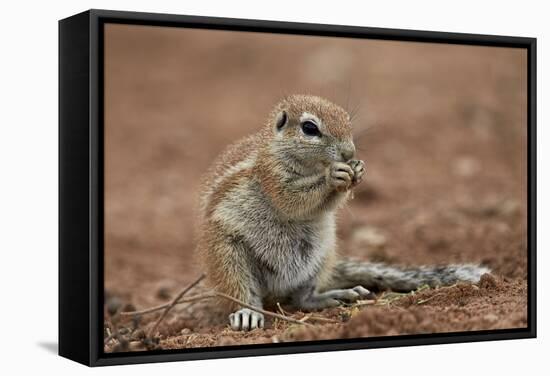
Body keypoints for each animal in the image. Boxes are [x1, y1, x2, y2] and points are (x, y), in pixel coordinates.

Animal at [196, 94, 490, 332]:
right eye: (309, 128)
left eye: (347, 120)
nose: (350, 152)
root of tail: (275, 291)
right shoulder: (272, 176)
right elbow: (291, 199)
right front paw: (332, 175)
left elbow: (325, 205)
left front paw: (358, 170)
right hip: (228, 257)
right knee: (241, 292)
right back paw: (247, 313)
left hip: (321, 255)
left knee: (302, 298)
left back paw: (334, 296)